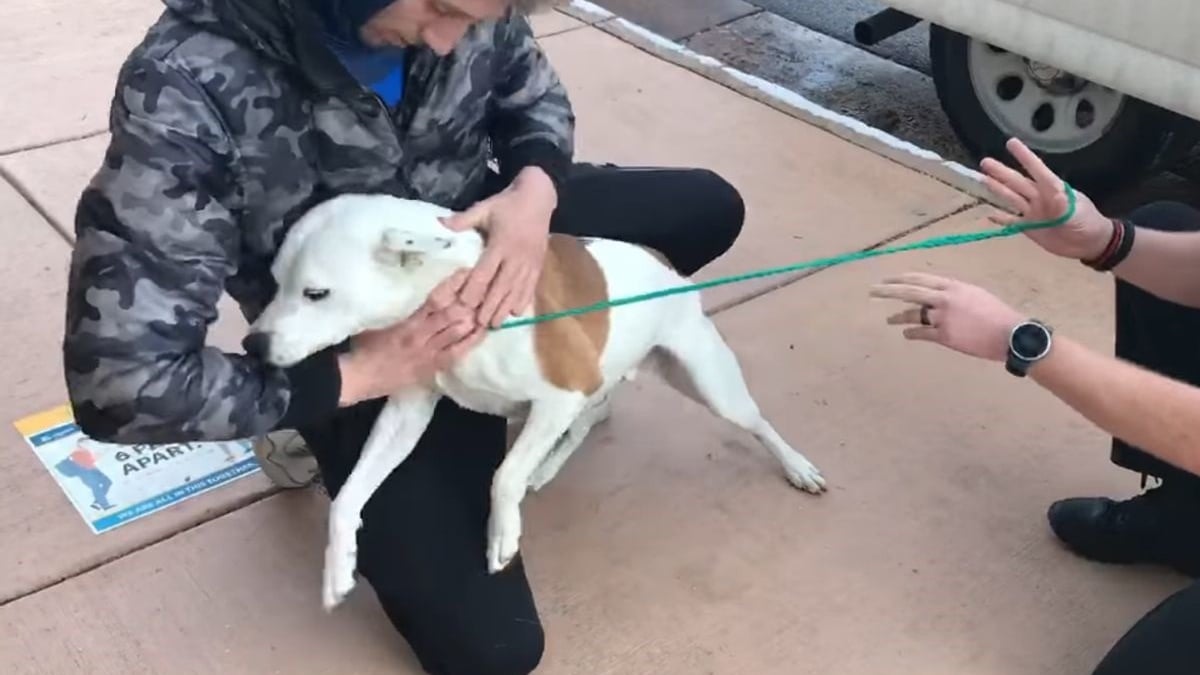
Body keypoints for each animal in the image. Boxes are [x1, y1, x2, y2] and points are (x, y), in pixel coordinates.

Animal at [247, 193, 820, 610]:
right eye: (273, 283)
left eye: (316, 293)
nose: (252, 346)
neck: (449, 287)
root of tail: (666, 266)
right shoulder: (407, 412)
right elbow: (346, 500)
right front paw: (338, 566)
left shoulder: (559, 393)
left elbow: (502, 476)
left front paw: (502, 533)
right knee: (592, 417)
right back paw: (546, 467)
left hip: (706, 381)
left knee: (755, 422)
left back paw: (798, 466)